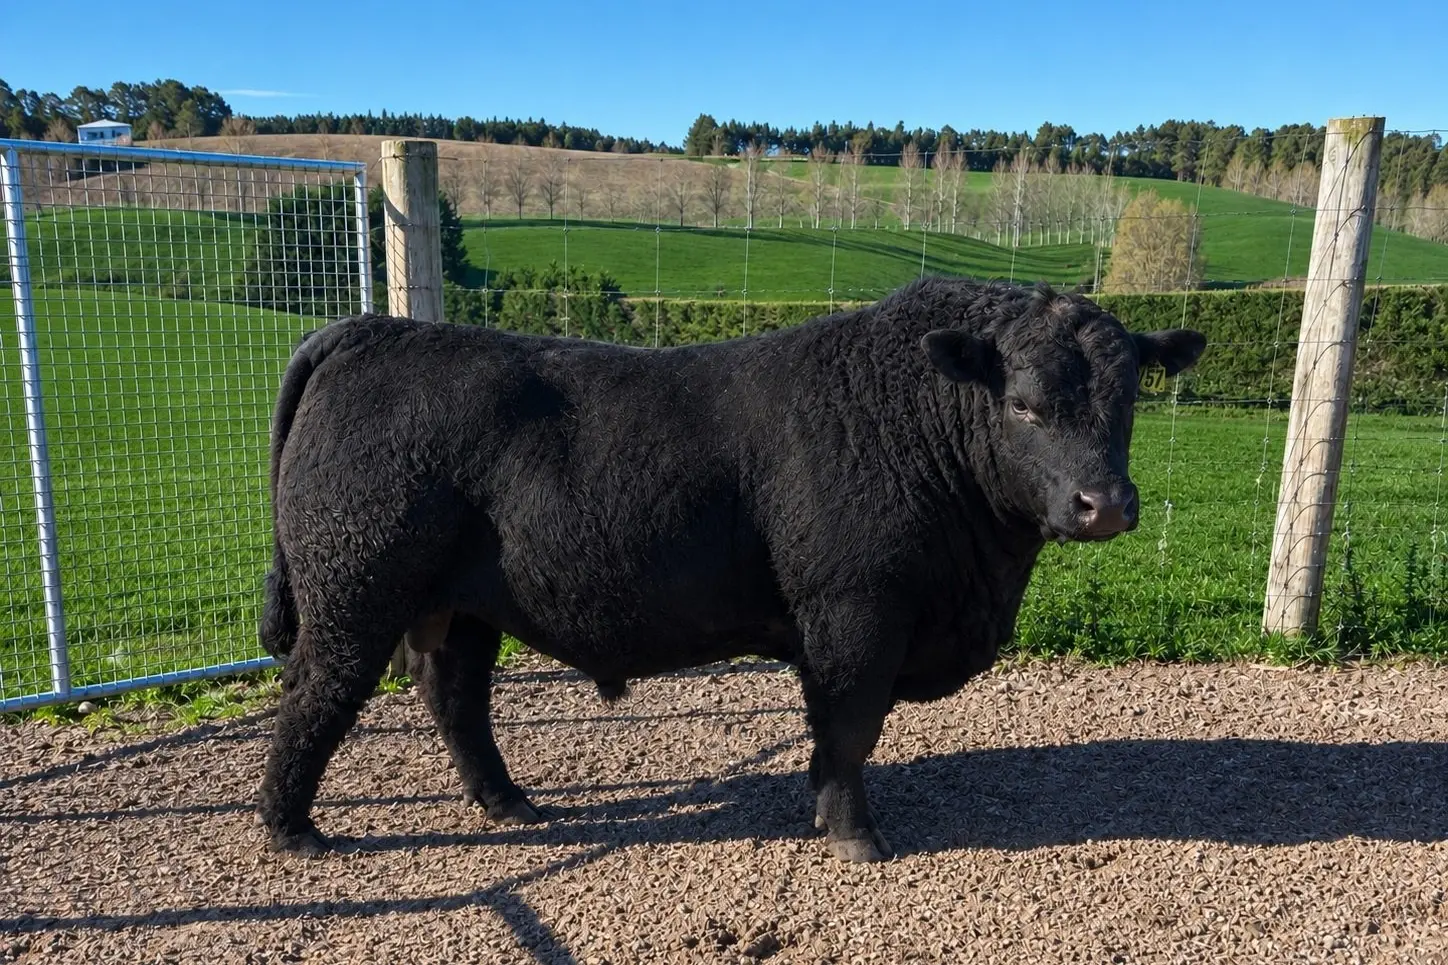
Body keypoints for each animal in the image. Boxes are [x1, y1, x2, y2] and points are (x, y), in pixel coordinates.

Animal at [254, 277, 1206, 863]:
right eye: (1023, 404)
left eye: (1129, 397)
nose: (1105, 502)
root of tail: (371, 329)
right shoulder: (854, 615)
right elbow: (850, 728)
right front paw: (856, 836)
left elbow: (835, 740)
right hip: (353, 588)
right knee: (316, 691)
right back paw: (292, 828)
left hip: (463, 605)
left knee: (453, 695)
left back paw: (509, 802)